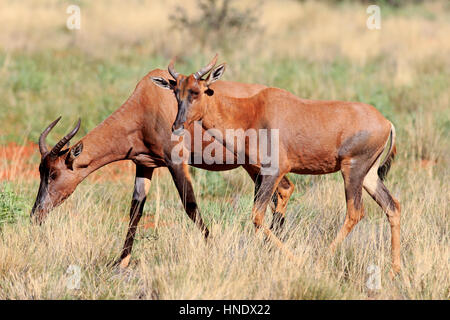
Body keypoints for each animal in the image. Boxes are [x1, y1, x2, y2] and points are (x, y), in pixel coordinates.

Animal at [30, 65, 296, 268]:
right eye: (41, 171)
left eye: (53, 173)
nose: (35, 215)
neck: (147, 101)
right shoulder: (144, 165)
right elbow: (135, 211)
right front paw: (121, 263)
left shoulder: (176, 162)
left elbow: (190, 206)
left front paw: (213, 248)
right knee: (279, 194)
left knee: (280, 192)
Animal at [153, 54, 402, 272]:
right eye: (176, 92)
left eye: (197, 91)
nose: (176, 127)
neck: (252, 112)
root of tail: (386, 122)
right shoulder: (261, 172)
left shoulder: (274, 171)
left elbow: (257, 215)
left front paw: (296, 260)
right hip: (369, 175)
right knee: (392, 206)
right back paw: (395, 271)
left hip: (352, 170)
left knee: (355, 212)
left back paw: (321, 260)